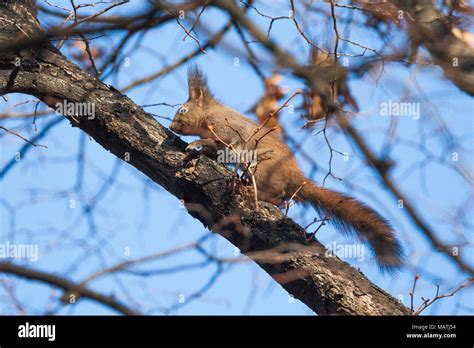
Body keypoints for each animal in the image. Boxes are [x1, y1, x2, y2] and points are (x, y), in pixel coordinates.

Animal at [168, 66, 402, 270]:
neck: (210, 112)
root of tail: (295, 178)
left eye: (182, 110)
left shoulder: (224, 128)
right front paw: (198, 149)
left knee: (279, 195)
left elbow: (219, 142)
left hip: (263, 169)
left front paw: (196, 144)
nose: (171, 127)